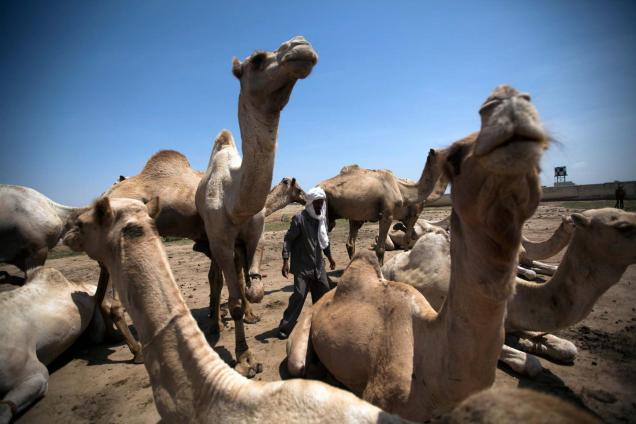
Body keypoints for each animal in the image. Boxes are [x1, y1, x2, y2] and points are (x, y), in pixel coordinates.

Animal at [318, 161, 448, 262]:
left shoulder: (407, 217)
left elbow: (409, 237)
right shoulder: (392, 215)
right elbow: (383, 248)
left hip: (353, 216)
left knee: (349, 243)